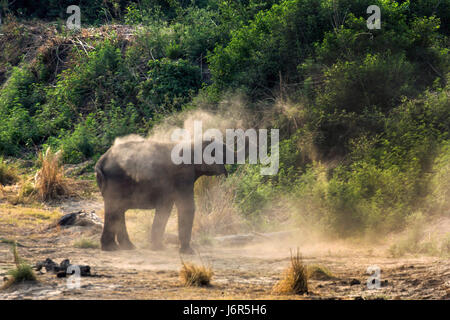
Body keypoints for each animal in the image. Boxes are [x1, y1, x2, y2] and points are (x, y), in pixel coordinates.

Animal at [95, 136, 229, 254]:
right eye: (223, 150)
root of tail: (101, 161)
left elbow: (166, 208)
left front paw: (158, 247)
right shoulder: (183, 176)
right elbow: (186, 207)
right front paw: (189, 252)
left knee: (117, 210)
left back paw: (127, 247)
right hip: (116, 181)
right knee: (114, 209)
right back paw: (111, 248)